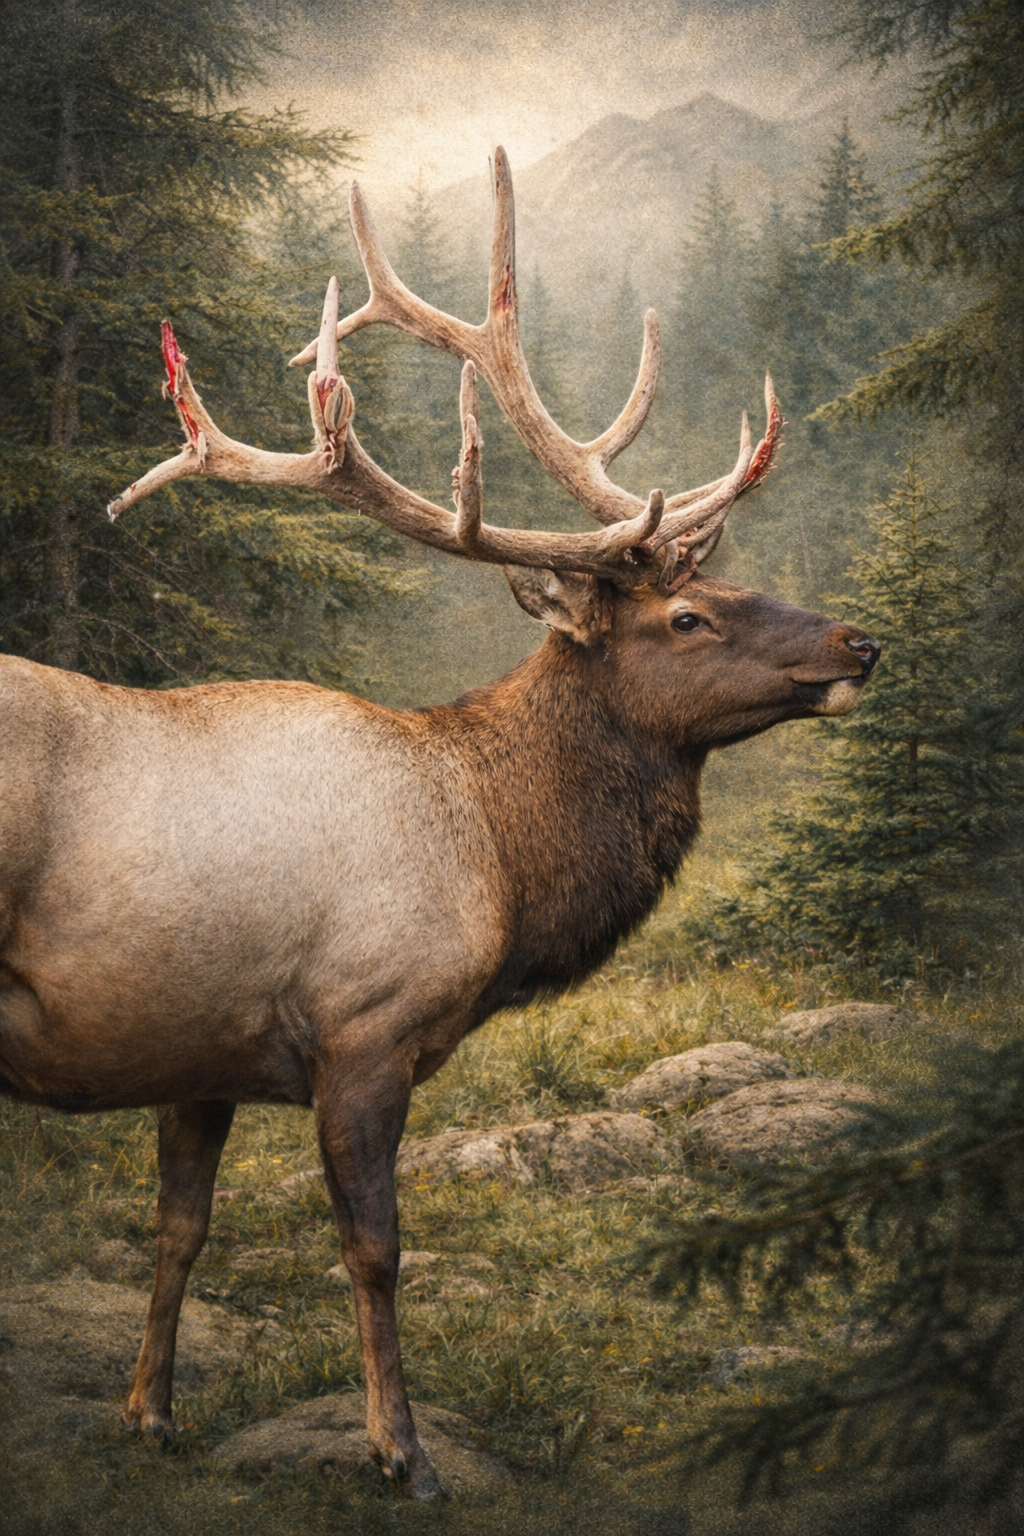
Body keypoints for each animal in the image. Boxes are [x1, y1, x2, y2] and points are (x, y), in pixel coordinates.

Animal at [0, 148, 879, 1499]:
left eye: (725, 583)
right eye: (686, 619)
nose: (858, 641)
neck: (497, 855)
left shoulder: (194, 1048)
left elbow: (178, 1231)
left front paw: (147, 1412)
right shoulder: (364, 1025)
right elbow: (375, 1250)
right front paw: (401, 1451)